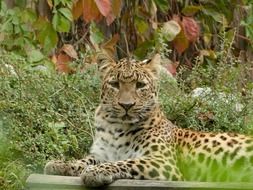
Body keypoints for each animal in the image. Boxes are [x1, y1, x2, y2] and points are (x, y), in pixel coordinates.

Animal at [44, 52, 253, 187]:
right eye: (115, 84)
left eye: (140, 85)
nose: (126, 105)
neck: (116, 126)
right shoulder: (101, 153)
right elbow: (83, 160)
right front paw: (60, 164)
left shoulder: (163, 162)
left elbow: (126, 162)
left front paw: (95, 172)